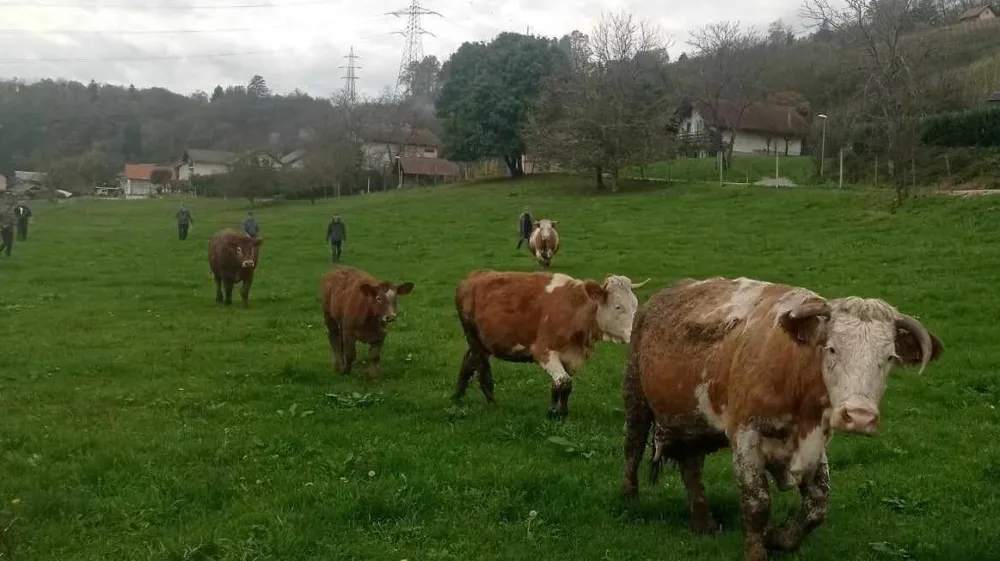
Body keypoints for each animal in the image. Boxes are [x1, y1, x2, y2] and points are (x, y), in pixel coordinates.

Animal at [454, 270, 648, 418]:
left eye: (635, 304)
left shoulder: (568, 355)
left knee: (468, 362)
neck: (574, 309)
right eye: (618, 306)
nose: (636, 331)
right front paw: (559, 413)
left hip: (482, 342)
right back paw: (491, 402)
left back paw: (457, 396)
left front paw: (554, 409)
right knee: (482, 370)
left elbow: (558, 385)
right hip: (474, 339)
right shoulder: (543, 351)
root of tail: (473, 276)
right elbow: (565, 382)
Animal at [620, 278, 940, 560]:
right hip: (635, 396)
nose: (859, 417)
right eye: (831, 348)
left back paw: (703, 523)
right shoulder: (746, 435)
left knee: (691, 467)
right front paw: (756, 551)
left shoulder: (814, 443)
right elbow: (757, 502)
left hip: (693, 422)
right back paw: (629, 501)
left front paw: (779, 538)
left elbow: (817, 505)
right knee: (632, 448)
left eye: (889, 357)